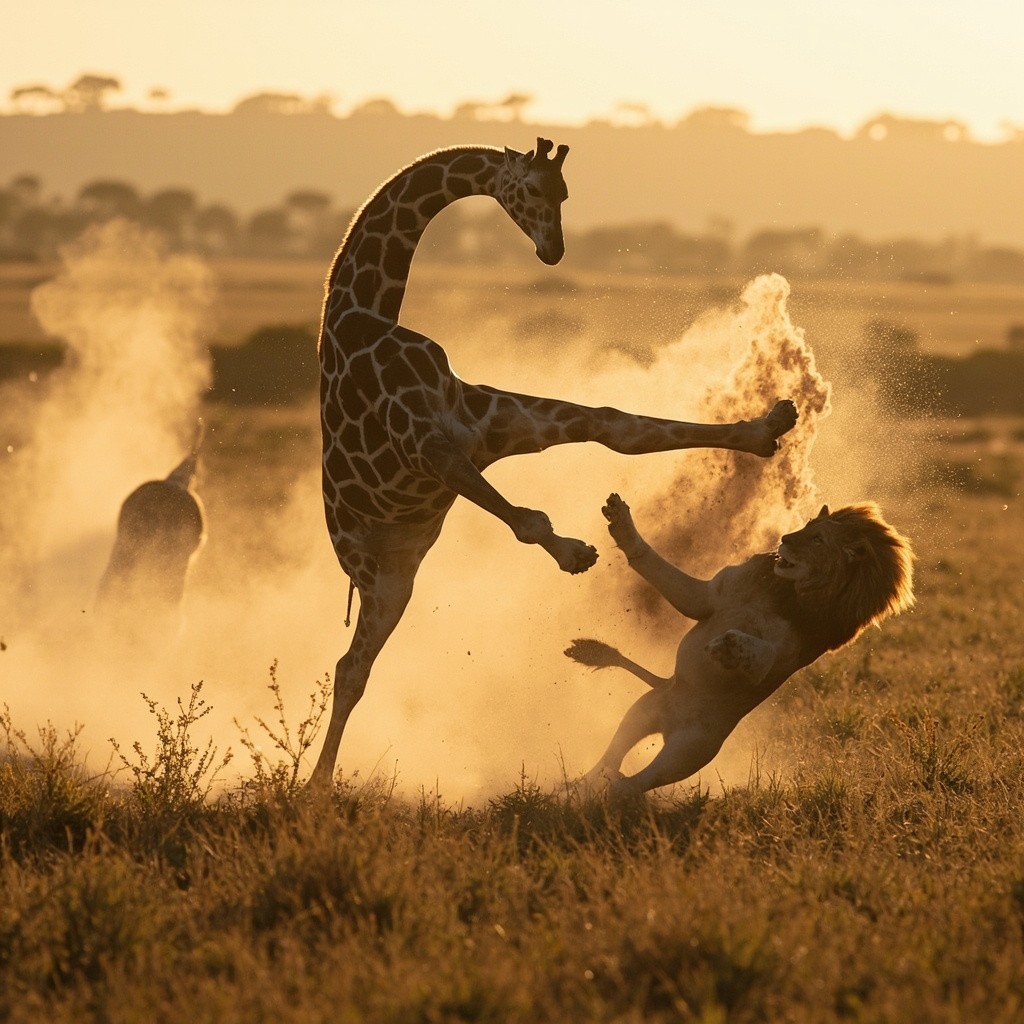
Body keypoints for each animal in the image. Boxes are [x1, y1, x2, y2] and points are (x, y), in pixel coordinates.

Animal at [310, 138, 797, 786]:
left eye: (565, 191)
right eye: (537, 189)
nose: (553, 250)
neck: (362, 313)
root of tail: (348, 566)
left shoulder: (489, 426)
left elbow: (618, 427)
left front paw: (767, 429)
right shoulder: (424, 442)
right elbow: (526, 519)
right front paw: (574, 553)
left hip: (399, 579)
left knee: (354, 666)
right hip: (382, 579)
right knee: (349, 670)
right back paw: (315, 783)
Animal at [565, 493, 914, 797]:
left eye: (819, 540)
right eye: (809, 524)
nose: (786, 538)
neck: (784, 591)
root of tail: (668, 721)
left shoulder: (786, 656)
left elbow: (762, 656)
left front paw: (733, 647)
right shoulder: (708, 596)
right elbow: (664, 574)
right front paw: (622, 525)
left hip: (690, 750)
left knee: (640, 781)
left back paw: (608, 793)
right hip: (644, 709)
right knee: (612, 757)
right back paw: (581, 785)